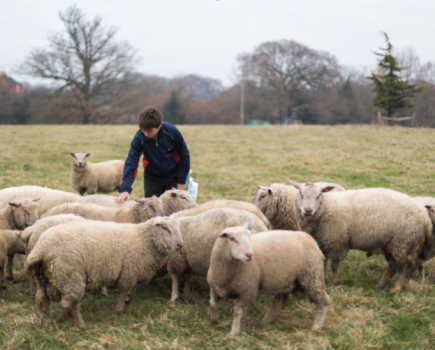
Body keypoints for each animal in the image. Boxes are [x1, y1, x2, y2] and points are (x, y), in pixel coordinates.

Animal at [290, 180, 432, 292]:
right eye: (300, 193)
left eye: (319, 195)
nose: (308, 211)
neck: (327, 207)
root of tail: (425, 217)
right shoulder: (321, 243)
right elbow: (323, 263)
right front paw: (323, 279)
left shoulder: (338, 243)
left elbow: (334, 265)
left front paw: (333, 282)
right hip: (394, 245)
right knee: (393, 267)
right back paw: (380, 286)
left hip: (405, 243)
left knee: (409, 268)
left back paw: (396, 288)